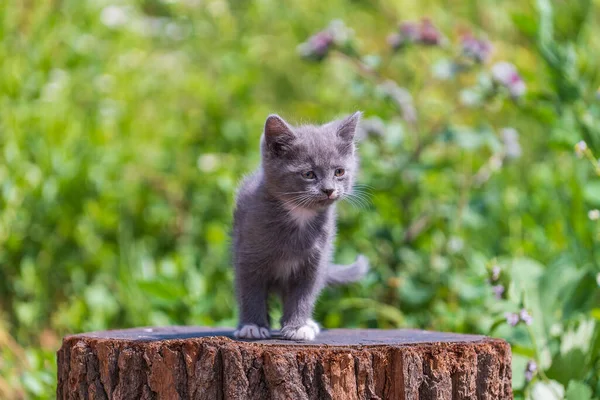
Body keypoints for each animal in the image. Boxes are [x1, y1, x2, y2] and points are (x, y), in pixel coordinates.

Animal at [231, 112, 368, 340]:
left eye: (339, 172)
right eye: (309, 174)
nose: (329, 190)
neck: (300, 216)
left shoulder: (314, 261)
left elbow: (303, 294)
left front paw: (298, 327)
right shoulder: (248, 255)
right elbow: (250, 291)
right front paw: (253, 326)